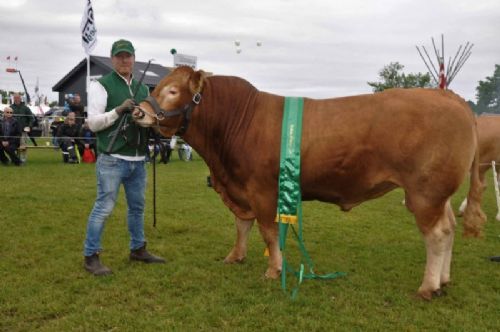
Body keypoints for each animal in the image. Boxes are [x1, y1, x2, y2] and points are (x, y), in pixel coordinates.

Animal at [132, 66, 484, 300]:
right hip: (439, 195)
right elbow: (242, 225)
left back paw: (428, 286)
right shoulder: (240, 189)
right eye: (157, 86)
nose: (137, 112)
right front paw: (235, 256)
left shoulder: (261, 189)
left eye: (173, 91)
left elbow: (268, 231)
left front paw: (273, 270)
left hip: (425, 192)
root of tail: (449, 97)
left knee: (436, 235)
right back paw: (444, 280)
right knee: (450, 228)